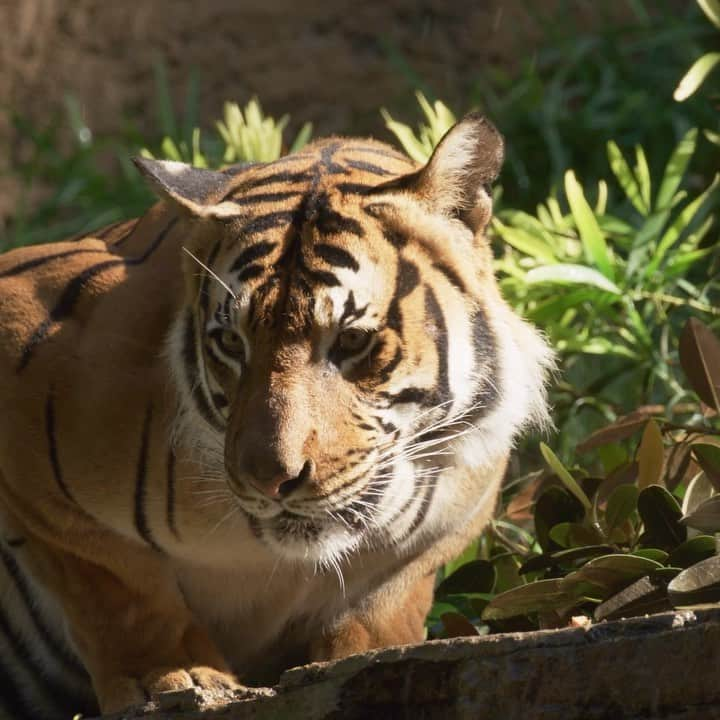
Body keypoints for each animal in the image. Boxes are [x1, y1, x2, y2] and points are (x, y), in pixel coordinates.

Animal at [0, 114, 552, 720]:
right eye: (230, 342)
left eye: (352, 340)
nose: (272, 479)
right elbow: (116, 585)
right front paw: (172, 678)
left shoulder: (443, 525)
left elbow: (379, 606)